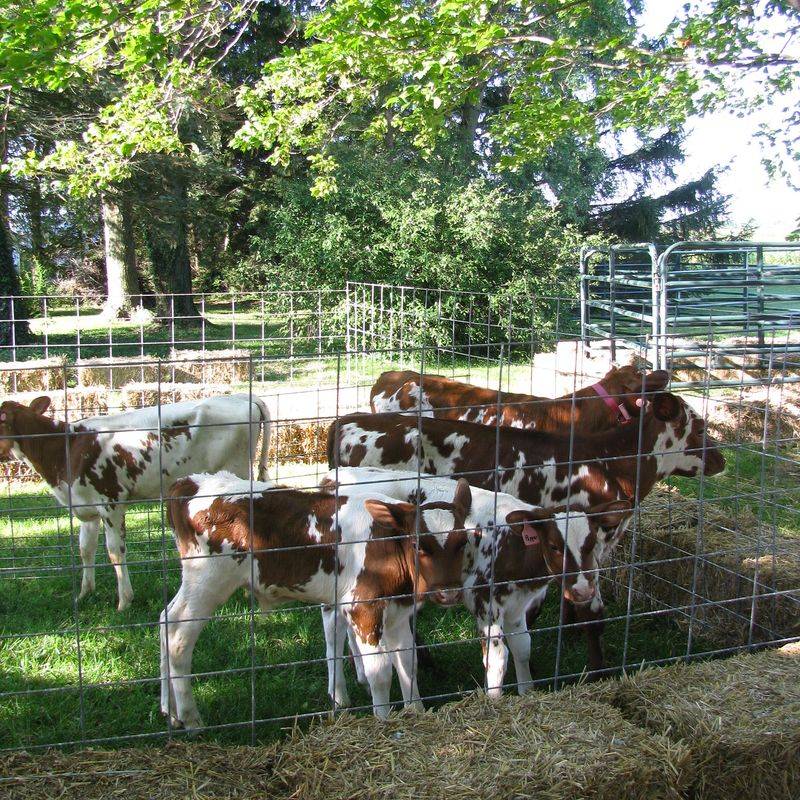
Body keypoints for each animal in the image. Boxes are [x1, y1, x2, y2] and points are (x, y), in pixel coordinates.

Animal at [0, 394, 271, 610]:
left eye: (1, 421)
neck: (66, 448)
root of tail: (240, 396)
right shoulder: (86, 504)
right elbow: (85, 548)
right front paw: (84, 593)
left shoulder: (111, 502)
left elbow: (115, 552)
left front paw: (124, 601)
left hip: (236, 474)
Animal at [161, 471, 473, 725]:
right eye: (419, 543)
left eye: (463, 541)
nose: (449, 592)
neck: (386, 545)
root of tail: (190, 482)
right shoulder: (362, 608)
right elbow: (381, 672)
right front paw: (383, 722)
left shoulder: (398, 610)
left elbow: (408, 663)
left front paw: (417, 712)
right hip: (207, 581)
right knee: (178, 636)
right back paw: (190, 718)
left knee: (166, 619)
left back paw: (170, 712)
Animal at [321, 467, 633, 696]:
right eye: (555, 546)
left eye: (593, 543)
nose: (582, 590)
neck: (509, 542)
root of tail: (335, 474)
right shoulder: (485, 602)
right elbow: (497, 659)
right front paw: (494, 702)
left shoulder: (517, 605)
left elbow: (522, 648)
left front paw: (527, 694)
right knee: (333, 626)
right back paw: (340, 694)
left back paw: (362, 675)